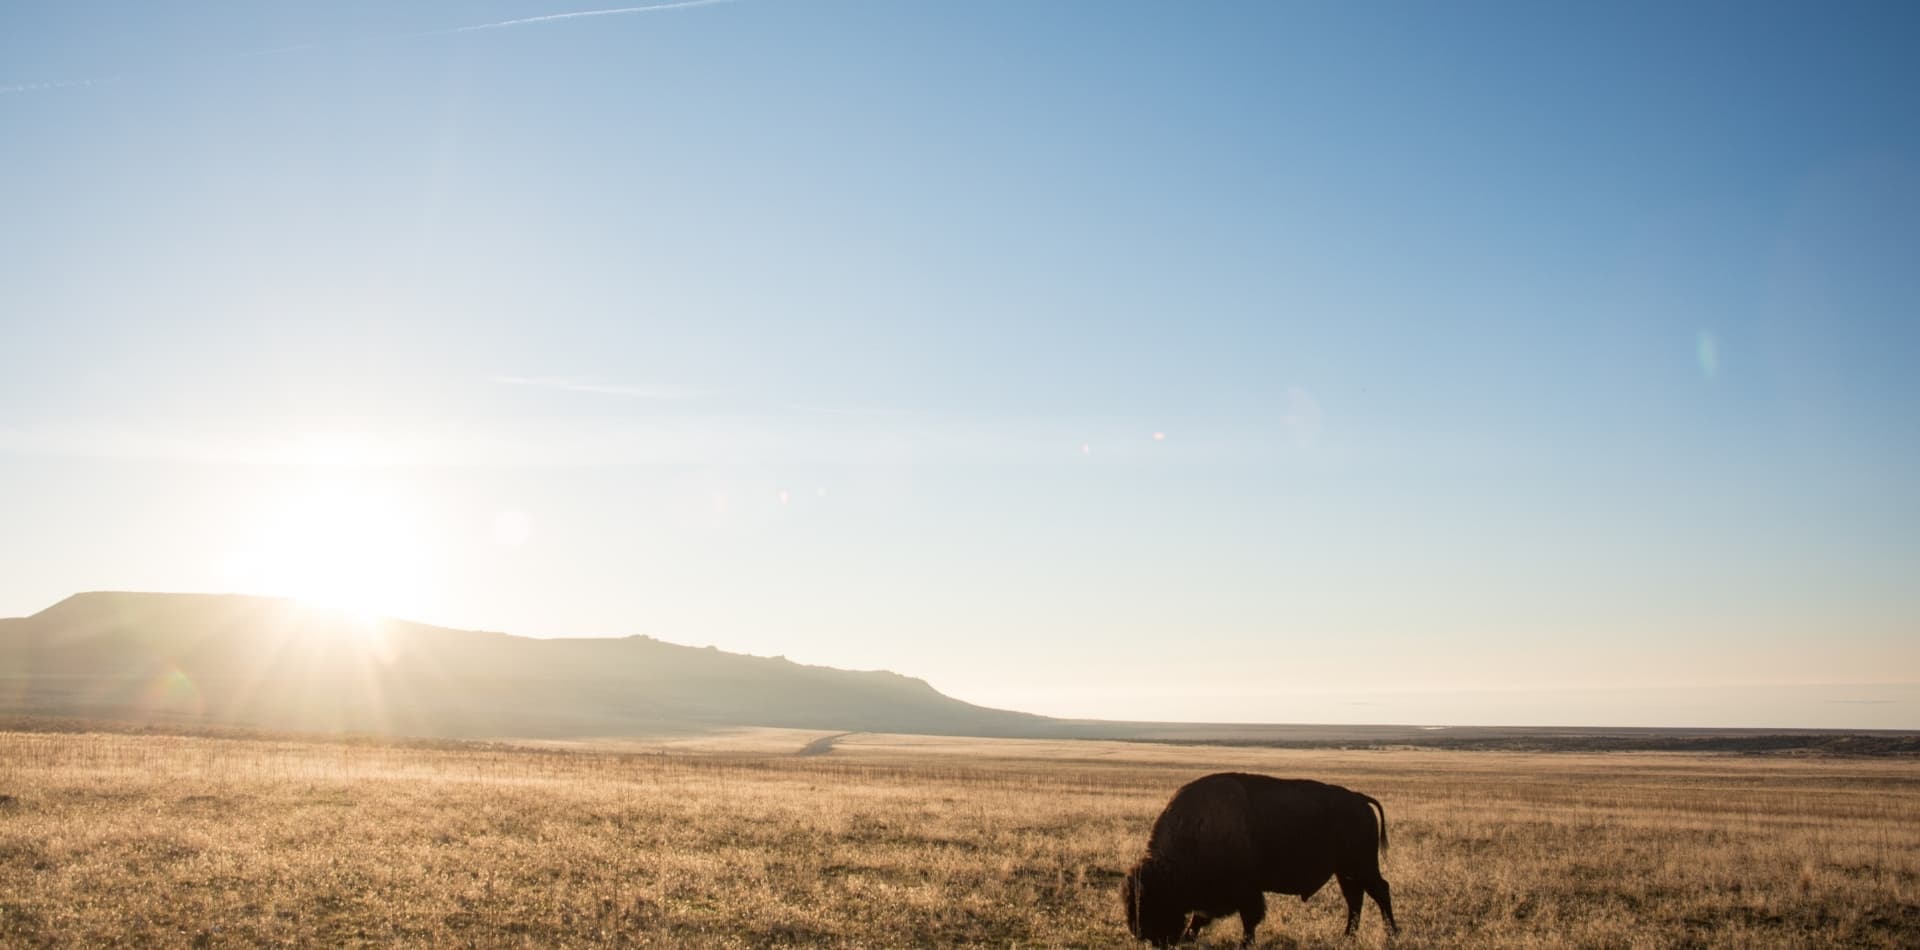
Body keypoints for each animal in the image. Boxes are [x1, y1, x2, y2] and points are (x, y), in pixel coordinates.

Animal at [1122, 773, 1397, 946]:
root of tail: (1360, 799)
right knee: (1355, 899)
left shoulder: (1246, 891)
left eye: (1154, 898)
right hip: (1346, 871)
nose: (1143, 934)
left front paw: (1245, 942)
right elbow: (1202, 916)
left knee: (1380, 891)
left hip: (1361, 866)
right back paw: (1348, 937)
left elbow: (1248, 918)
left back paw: (1391, 934)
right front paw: (1190, 936)